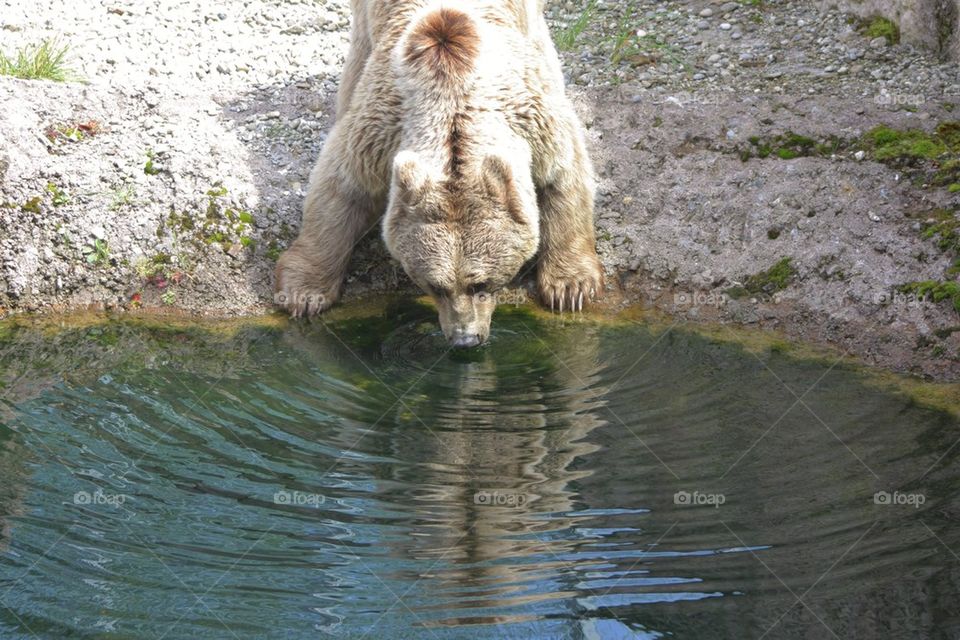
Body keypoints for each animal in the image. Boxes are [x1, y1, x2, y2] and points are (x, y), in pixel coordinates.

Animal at [274, 0, 604, 347]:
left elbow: (563, 174)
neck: (453, 99)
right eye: (435, 286)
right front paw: (303, 292)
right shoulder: (382, 125)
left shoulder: (529, 116)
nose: (464, 339)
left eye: (481, 283)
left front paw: (571, 287)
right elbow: (343, 187)